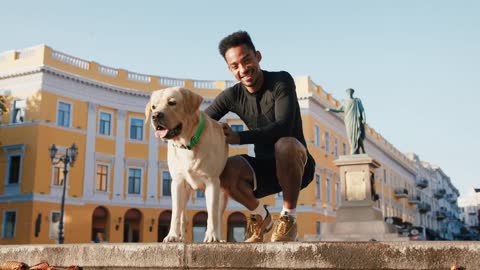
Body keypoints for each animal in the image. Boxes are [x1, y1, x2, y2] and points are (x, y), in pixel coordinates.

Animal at [144, 87, 229, 243]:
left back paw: (219, 238)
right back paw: (181, 237)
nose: (155, 115)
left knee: (218, 215)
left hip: (221, 192)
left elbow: (212, 214)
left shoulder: (212, 182)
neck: (188, 144)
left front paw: (211, 236)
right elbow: (175, 214)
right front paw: (172, 235)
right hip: (186, 191)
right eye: (153, 106)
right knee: (183, 215)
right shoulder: (177, 182)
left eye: (172, 102)